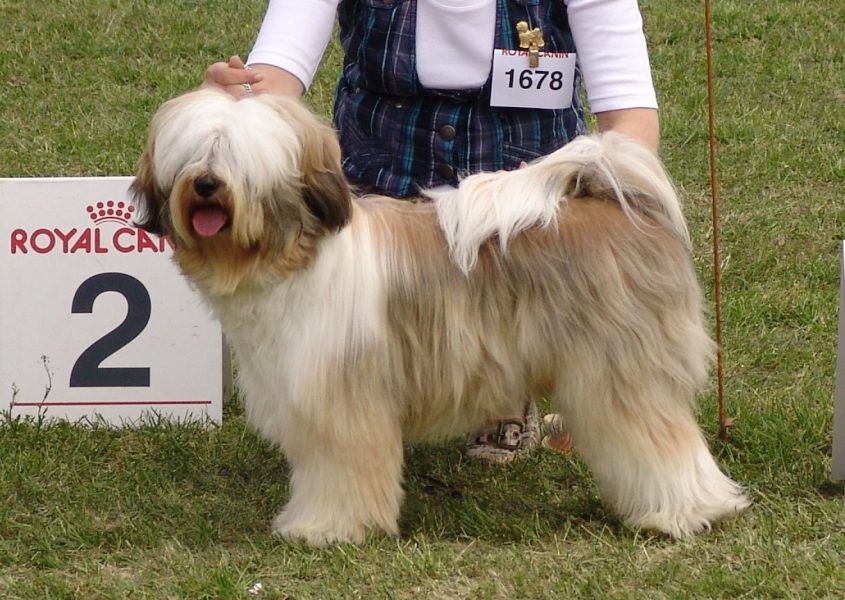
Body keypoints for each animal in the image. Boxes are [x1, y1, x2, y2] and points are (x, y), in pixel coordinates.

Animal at [129, 88, 748, 544]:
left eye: (238, 160)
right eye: (196, 154)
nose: (206, 183)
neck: (294, 257)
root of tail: (624, 202)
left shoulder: (341, 404)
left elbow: (339, 472)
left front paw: (323, 528)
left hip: (623, 373)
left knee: (660, 439)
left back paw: (686, 512)